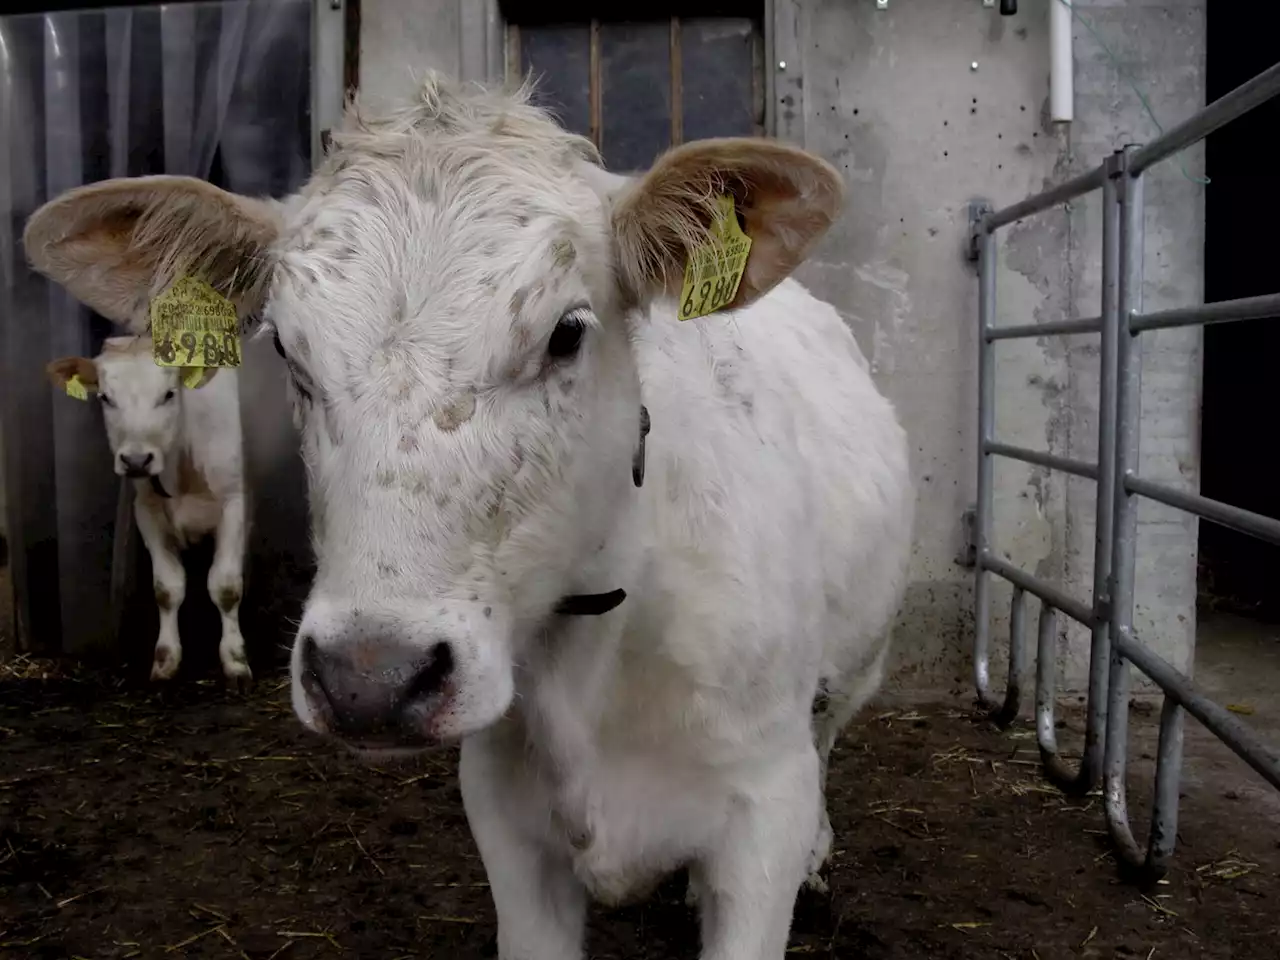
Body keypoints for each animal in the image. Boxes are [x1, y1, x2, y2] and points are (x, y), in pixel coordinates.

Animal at [45, 335, 249, 686]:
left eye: (168, 394)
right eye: (105, 397)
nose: (136, 460)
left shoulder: (233, 505)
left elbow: (225, 586)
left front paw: (235, 661)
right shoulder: (148, 512)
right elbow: (167, 589)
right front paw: (165, 660)